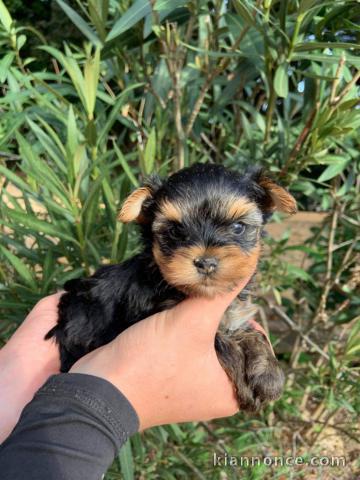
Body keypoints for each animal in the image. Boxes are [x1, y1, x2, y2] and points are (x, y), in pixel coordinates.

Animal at [46, 164, 296, 412]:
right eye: (175, 231)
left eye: (237, 227)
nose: (206, 262)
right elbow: (219, 342)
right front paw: (247, 388)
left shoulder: (233, 316)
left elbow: (251, 333)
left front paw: (268, 373)